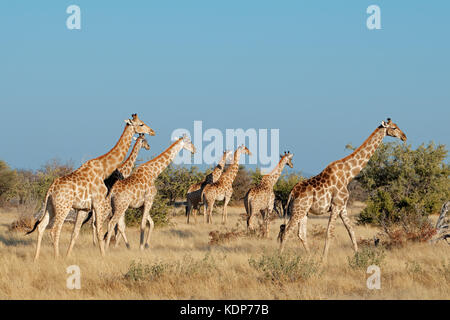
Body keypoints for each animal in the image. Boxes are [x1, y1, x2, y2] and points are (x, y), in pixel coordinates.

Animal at [28, 113, 156, 260]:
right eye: (141, 124)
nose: (153, 131)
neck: (104, 168)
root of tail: (50, 190)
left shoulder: (84, 208)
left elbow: (75, 233)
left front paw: (68, 256)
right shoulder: (98, 203)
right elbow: (100, 230)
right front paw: (103, 256)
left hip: (51, 207)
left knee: (41, 227)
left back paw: (36, 259)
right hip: (63, 207)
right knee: (54, 231)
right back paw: (56, 258)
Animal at [280, 118, 406, 260]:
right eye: (394, 127)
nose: (404, 137)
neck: (348, 175)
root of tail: (291, 193)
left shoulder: (343, 207)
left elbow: (351, 230)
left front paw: (357, 256)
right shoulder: (336, 205)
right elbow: (329, 232)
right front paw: (324, 259)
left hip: (303, 211)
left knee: (300, 234)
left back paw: (310, 257)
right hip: (298, 210)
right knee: (286, 231)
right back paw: (279, 257)